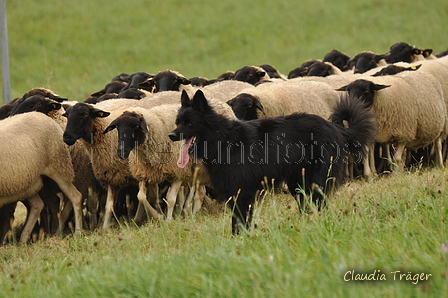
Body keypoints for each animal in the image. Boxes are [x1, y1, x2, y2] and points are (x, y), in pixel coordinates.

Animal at [0, 112, 83, 242]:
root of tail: (41, 115)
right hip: (27, 183)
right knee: (37, 205)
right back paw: (23, 239)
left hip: (60, 167)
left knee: (76, 197)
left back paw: (78, 233)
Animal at [168, 89, 374, 234]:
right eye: (177, 122)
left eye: (189, 123)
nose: (171, 135)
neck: (223, 139)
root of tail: (336, 127)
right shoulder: (235, 194)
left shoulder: (243, 194)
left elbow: (240, 224)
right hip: (298, 185)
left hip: (315, 184)